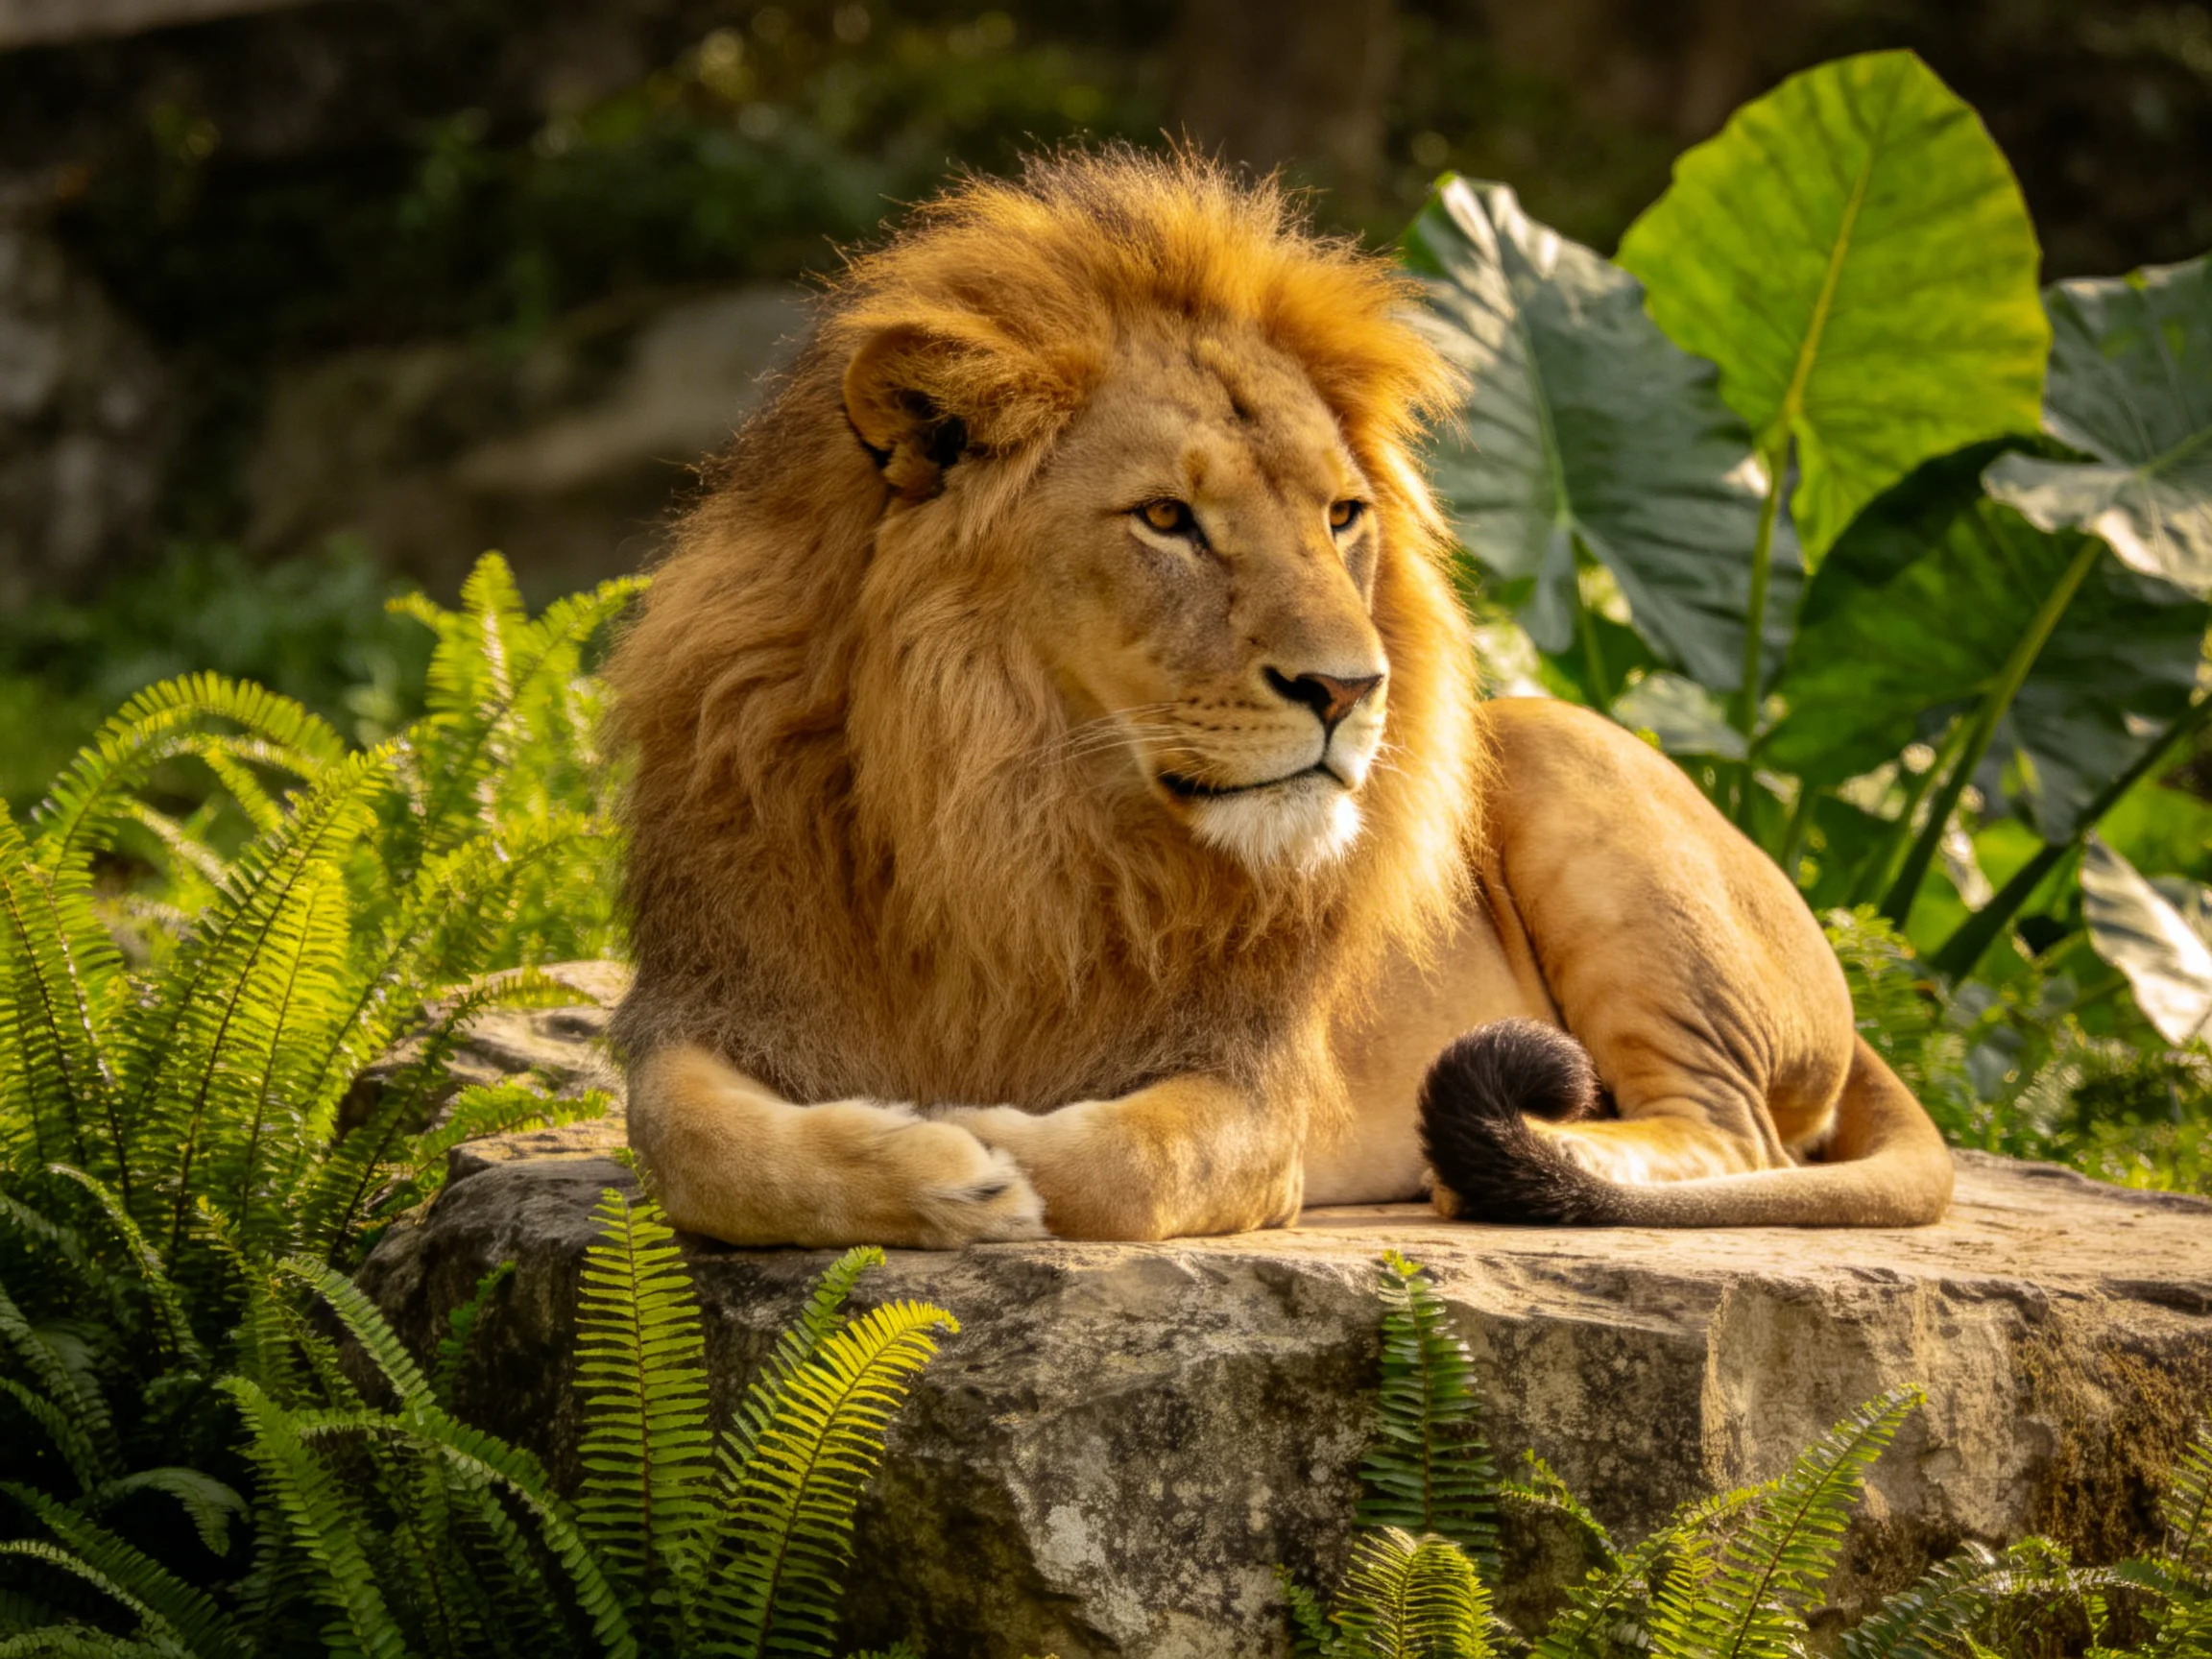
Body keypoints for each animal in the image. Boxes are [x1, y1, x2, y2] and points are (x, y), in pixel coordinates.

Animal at [606, 149, 1955, 1247]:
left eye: (1341, 515)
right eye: (1166, 518)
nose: (1350, 689)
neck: (1003, 806)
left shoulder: (1257, 1090)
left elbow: (1132, 1159)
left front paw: (984, 1148)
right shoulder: (717, 997)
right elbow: (691, 1146)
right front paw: (928, 1166)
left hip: (1565, 754)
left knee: (1733, 1135)